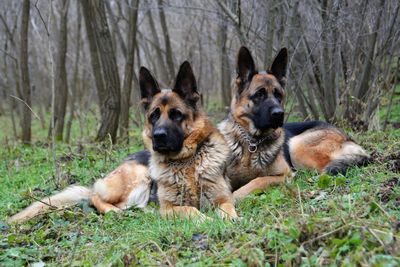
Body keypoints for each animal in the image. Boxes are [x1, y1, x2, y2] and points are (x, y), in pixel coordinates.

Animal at [8, 62, 238, 224]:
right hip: (138, 176)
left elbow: (228, 209)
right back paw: (115, 211)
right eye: (154, 116)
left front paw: (232, 219)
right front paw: (206, 219)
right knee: (96, 198)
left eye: (176, 114)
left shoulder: (222, 198)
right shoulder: (169, 208)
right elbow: (190, 209)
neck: (186, 162)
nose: (158, 136)